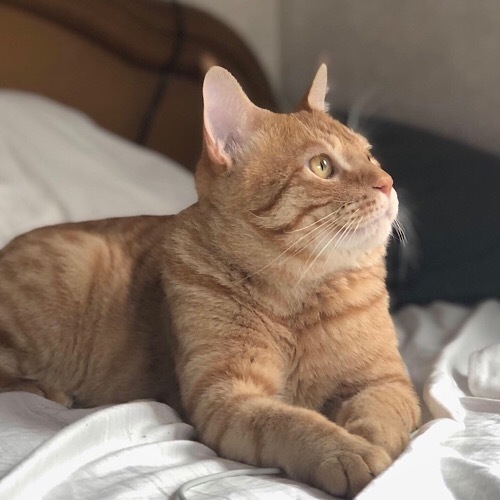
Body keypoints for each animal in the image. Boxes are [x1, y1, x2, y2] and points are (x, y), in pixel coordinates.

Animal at [0, 65, 420, 497]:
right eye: (322, 166)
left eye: (369, 155)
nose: (387, 182)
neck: (299, 297)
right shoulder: (227, 397)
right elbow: (292, 422)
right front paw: (345, 450)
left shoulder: (385, 382)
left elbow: (378, 416)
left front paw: (371, 451)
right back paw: (45, 390)